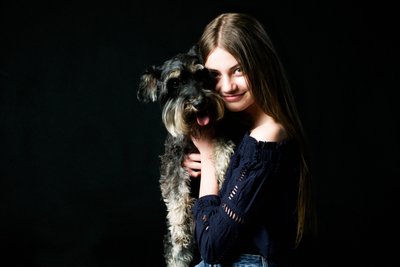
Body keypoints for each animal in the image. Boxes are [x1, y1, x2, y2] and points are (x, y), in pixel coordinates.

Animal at [138, 45, 238, 266]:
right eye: (175, 83)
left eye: (200, 75)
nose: (199, 102)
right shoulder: (173, 164)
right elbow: (176, 196)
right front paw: (179, 228)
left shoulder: (220, 134)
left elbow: (222, 148)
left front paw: (223, 171)